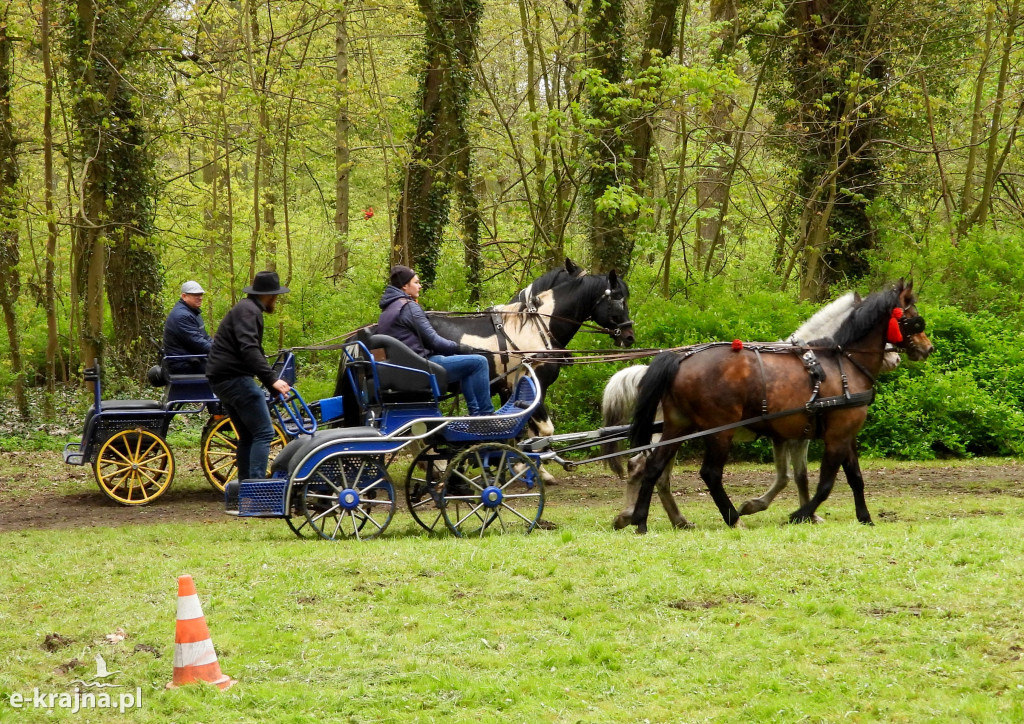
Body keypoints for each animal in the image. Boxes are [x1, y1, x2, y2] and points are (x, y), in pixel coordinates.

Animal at [626, 282, 933, 532]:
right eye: (915, 320)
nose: (927, 348)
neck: (842, 361)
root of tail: (680, 359)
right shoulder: (832, 436)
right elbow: (823, 483)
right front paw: (800, 514)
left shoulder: (842, 435)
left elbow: (852, 478)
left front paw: (864, 517)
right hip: (719, 431)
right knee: (707, 473)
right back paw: (730, 519)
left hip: (678, 426)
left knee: (653, 467)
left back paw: (641, 520)